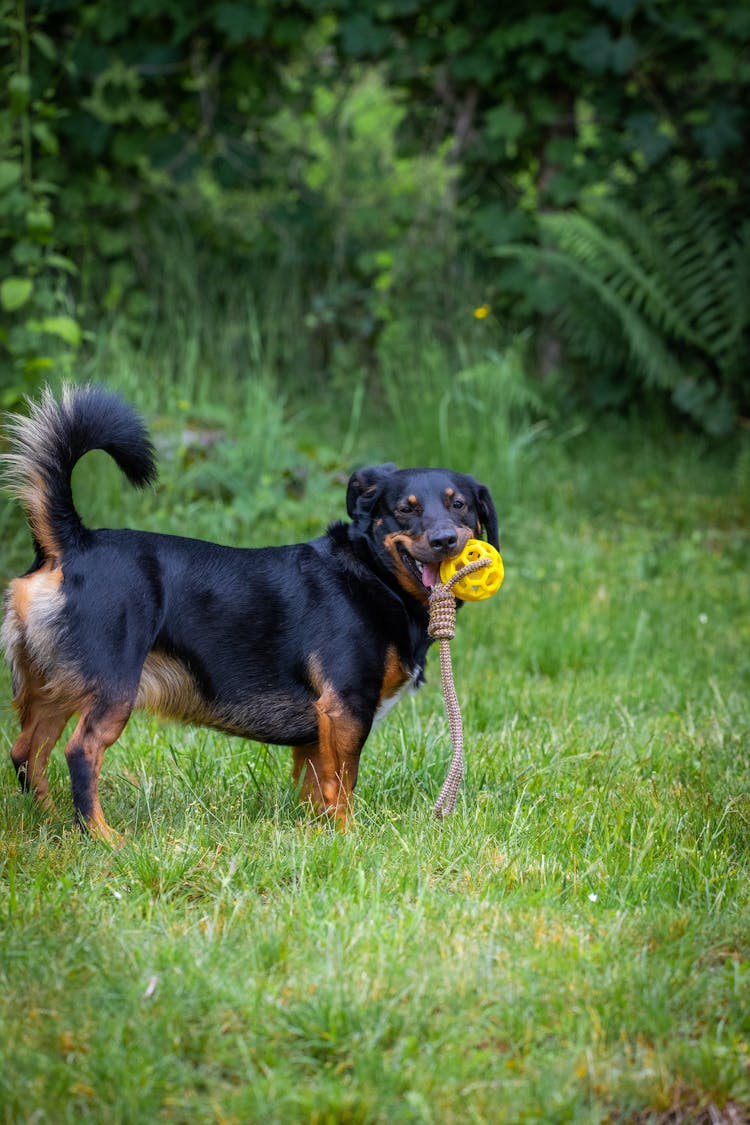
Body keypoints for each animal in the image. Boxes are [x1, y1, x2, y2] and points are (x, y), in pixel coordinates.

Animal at [2, 387, 499, 837]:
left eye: (459, 504)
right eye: (404, 510)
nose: (444, 541)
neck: (371, 575)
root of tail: (73, 542)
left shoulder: (317, 732)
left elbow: (316, 789)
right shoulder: (345, 708)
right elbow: (342, 787)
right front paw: (347, 838)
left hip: (54, 688)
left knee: (27, 753)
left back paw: (51, 822)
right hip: (112, 687)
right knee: (80, 752)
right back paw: (101, 836)